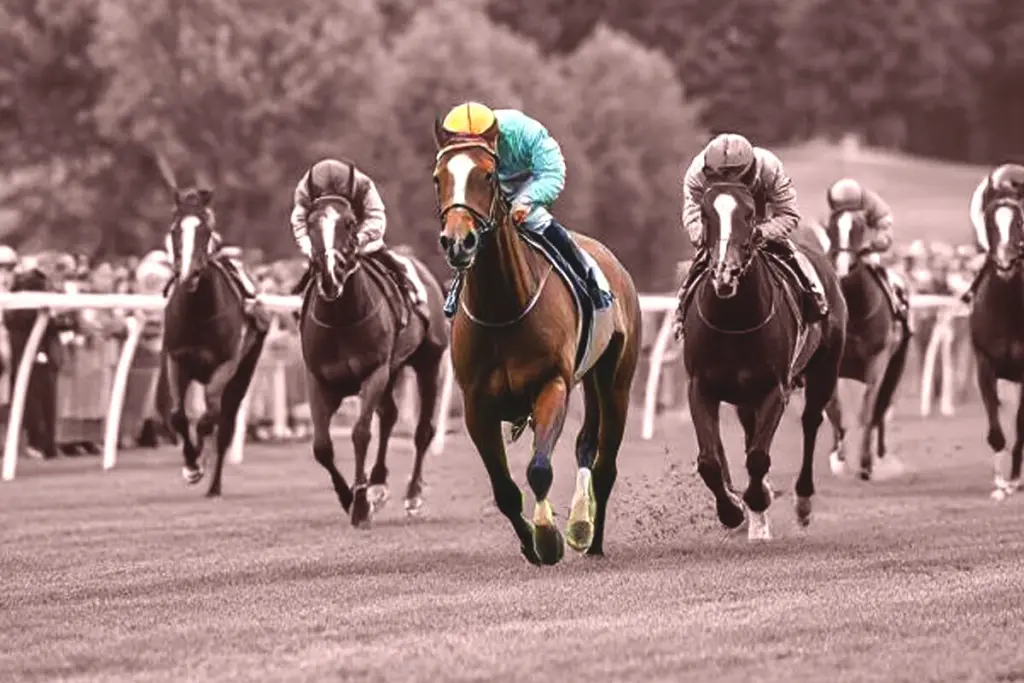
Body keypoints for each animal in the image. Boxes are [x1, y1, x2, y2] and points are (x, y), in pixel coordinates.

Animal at [161, 185, 268, 497]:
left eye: (206, 231)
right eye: (175, 229)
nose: (189, 274)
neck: (198, 313)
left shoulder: (226, 364)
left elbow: (210, 418)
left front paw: (198, 463)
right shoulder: (176, 359)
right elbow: (178, 415)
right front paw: (190, 464)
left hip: (243, 372)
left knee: (225, 421)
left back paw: (214, 485)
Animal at [299, 191, 448, 528]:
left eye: (348, 223)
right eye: (311, 224)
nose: (330, 277)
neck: (341, 320)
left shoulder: (374, 372)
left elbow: (361, 433)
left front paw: (359, 504)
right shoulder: (318, 381)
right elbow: (321, 447)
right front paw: (349, 497)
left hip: (427, 362)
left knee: (423, 430)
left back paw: (412, 494)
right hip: (392, 371)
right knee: (390, 415)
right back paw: (378, 483)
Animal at [432, 121, 642, 566]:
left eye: (487, 176)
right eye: (438, 178)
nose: (459, 242)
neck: (503, 308)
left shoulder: (552, 385)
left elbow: (539, 469)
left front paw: (548, 537)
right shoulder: (476, 406)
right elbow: (505, 490)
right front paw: (530, 543)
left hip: (615, 381)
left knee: (605, 465)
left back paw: (591, 539)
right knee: (586, 446)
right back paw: (580, 526)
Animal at [679, 183, 846, 541]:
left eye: (749, 214)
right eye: (705, 214)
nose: (724, 273)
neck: (733, 320)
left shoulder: (774, 388)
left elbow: (758, 457)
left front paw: (758, 498)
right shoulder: (700, 387)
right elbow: (709, 460)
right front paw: (731, 509)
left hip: (826, 369)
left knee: (811, 421)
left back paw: (802, 501)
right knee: (750, 429)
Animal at [819, 212, 911, 480]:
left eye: (859, 228)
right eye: (830, 228)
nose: (841, 266)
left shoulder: (877, 362)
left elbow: (868, 410)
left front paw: (865, 461)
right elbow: (833, 407)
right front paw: (838, 457)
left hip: (897, 364)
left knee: (882, 404)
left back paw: (879, 453)